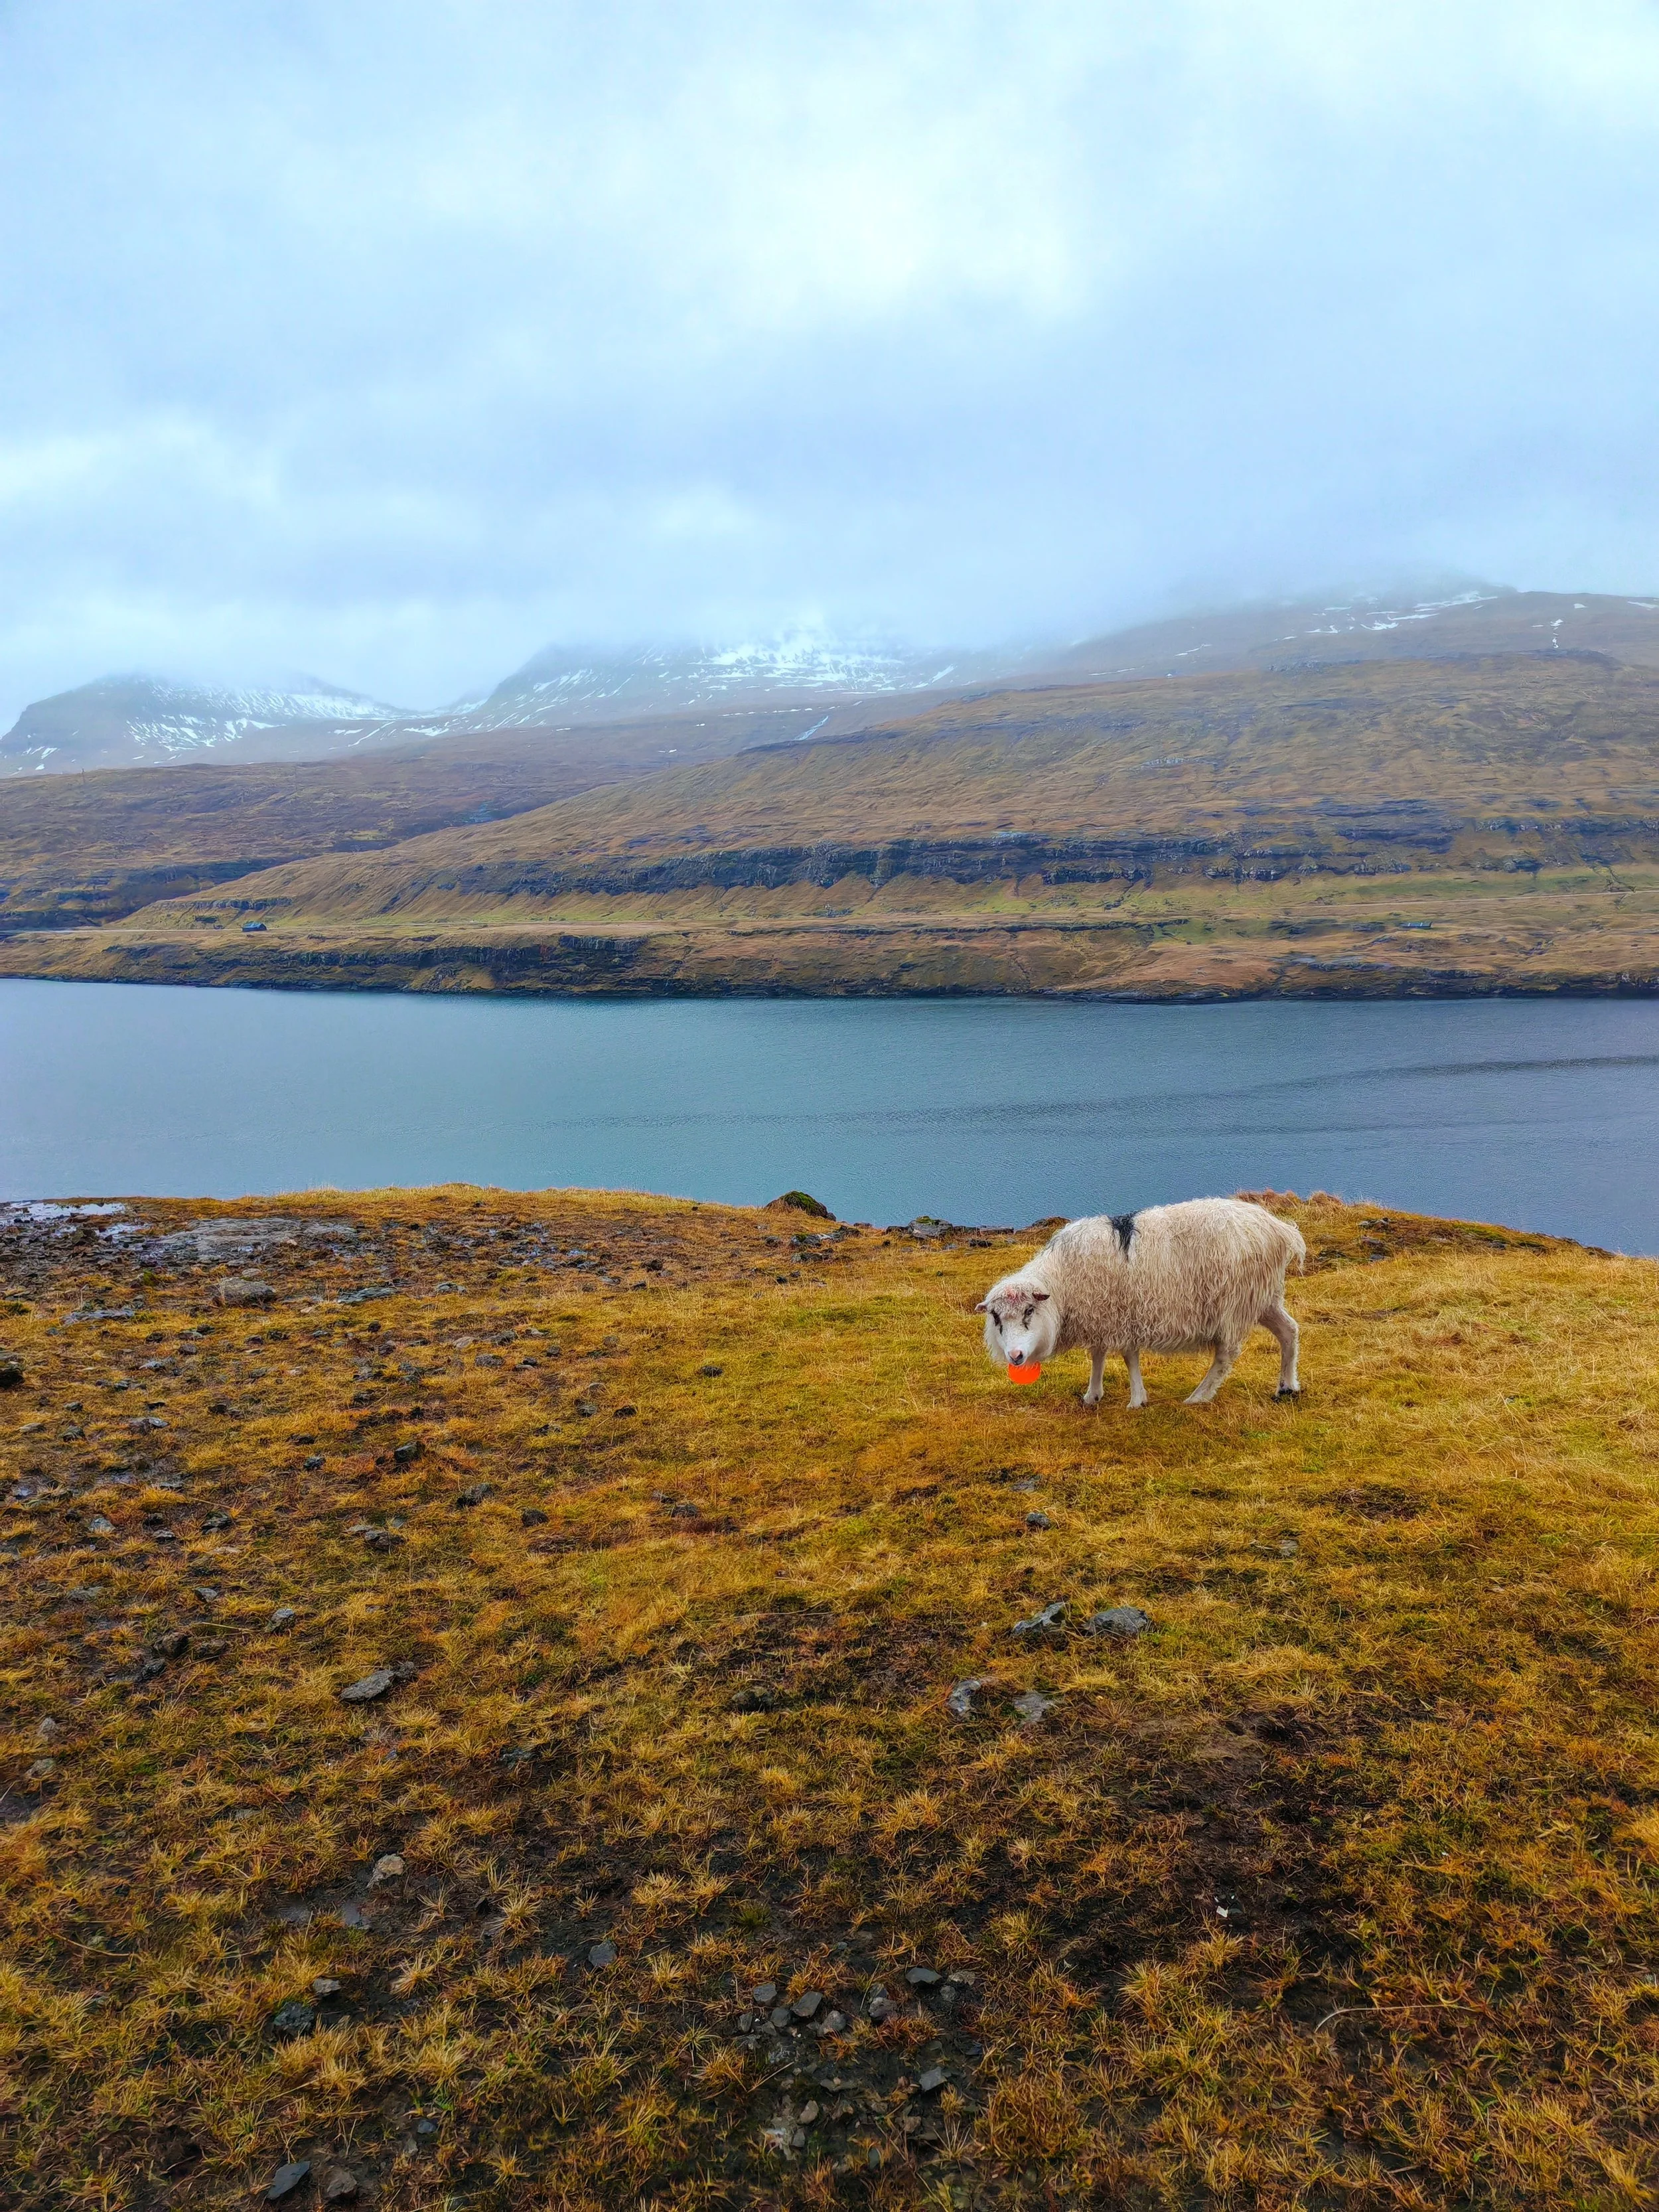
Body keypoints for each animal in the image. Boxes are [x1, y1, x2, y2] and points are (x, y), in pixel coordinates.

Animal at [976, 1197, 1305, 1407]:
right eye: (996, 1319)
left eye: (1029, 1310)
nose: (1015, 1356)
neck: (1062, 1280)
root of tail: (1279, 1229)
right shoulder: (1106, 1314)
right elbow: (1099, 1354)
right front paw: (1093, 1395)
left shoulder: (1120, 1314)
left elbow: (1126, 1357)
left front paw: (1136, 1400)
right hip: (1262, 1297)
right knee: (1289, 1331)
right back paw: (1287, 1387)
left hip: (1234, 1304)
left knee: (1226, 1355)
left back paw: (1199, 1397)